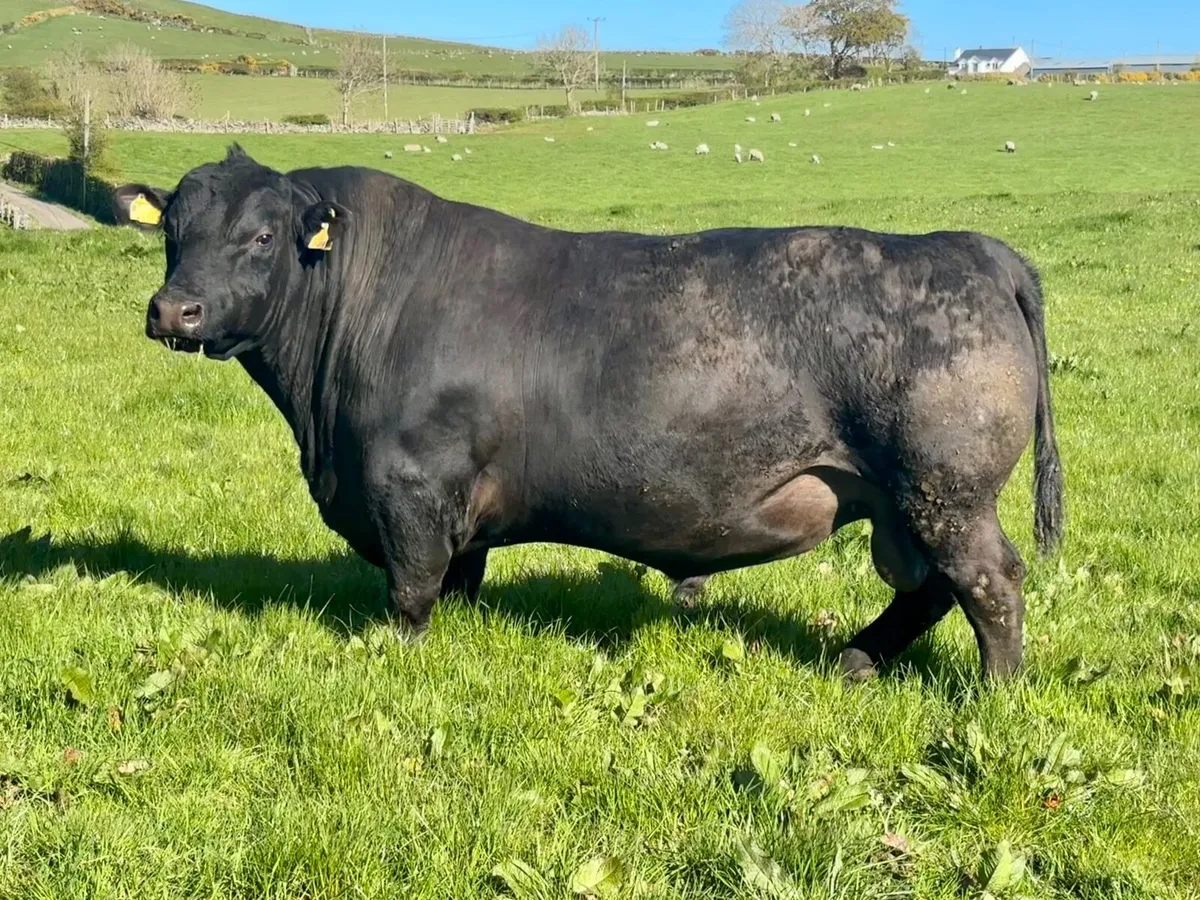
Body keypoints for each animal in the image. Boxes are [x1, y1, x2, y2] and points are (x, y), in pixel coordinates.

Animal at [113, 145, 1063, 680]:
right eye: (172, 233)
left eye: (262, 236)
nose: (174, 310)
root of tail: (967, 246)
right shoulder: (456, 504)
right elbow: (458, 579)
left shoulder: (409, 483)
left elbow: (412, 591)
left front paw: (399, 659)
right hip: (911, 501)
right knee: (932, 590)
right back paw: (858, 660)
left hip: (944, 488)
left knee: (990, 581)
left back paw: (995, 694)